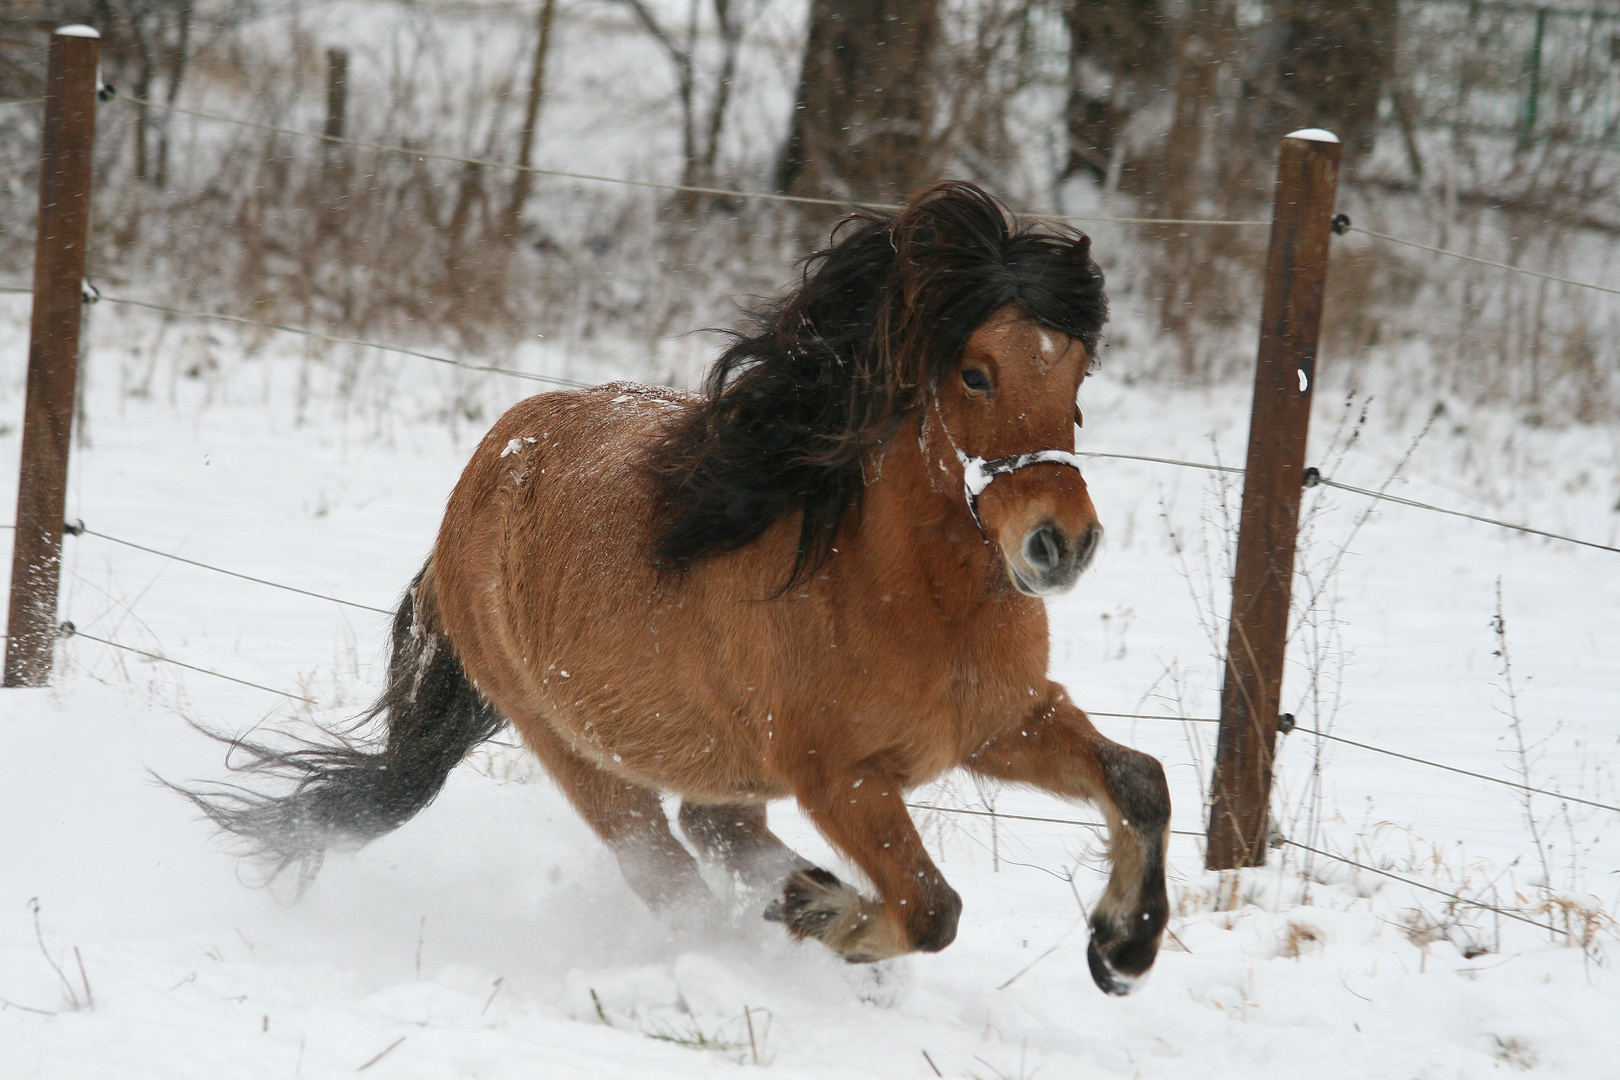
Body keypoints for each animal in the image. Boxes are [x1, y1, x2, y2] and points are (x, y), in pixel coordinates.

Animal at [189, 179, 1172, 997]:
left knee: (715, 832)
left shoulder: (1001, 722)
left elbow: (1140, 781)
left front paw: (1122, 949)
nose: (1061, 543)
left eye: (1076, 373)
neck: (913, 593)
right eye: (975, 371)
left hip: (717, 757)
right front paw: (839, 925)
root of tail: (480, 478)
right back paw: (773, 930)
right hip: (576, 751)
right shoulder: (838, 778)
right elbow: (932, 908)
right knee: (672, 872)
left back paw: (798, 898)